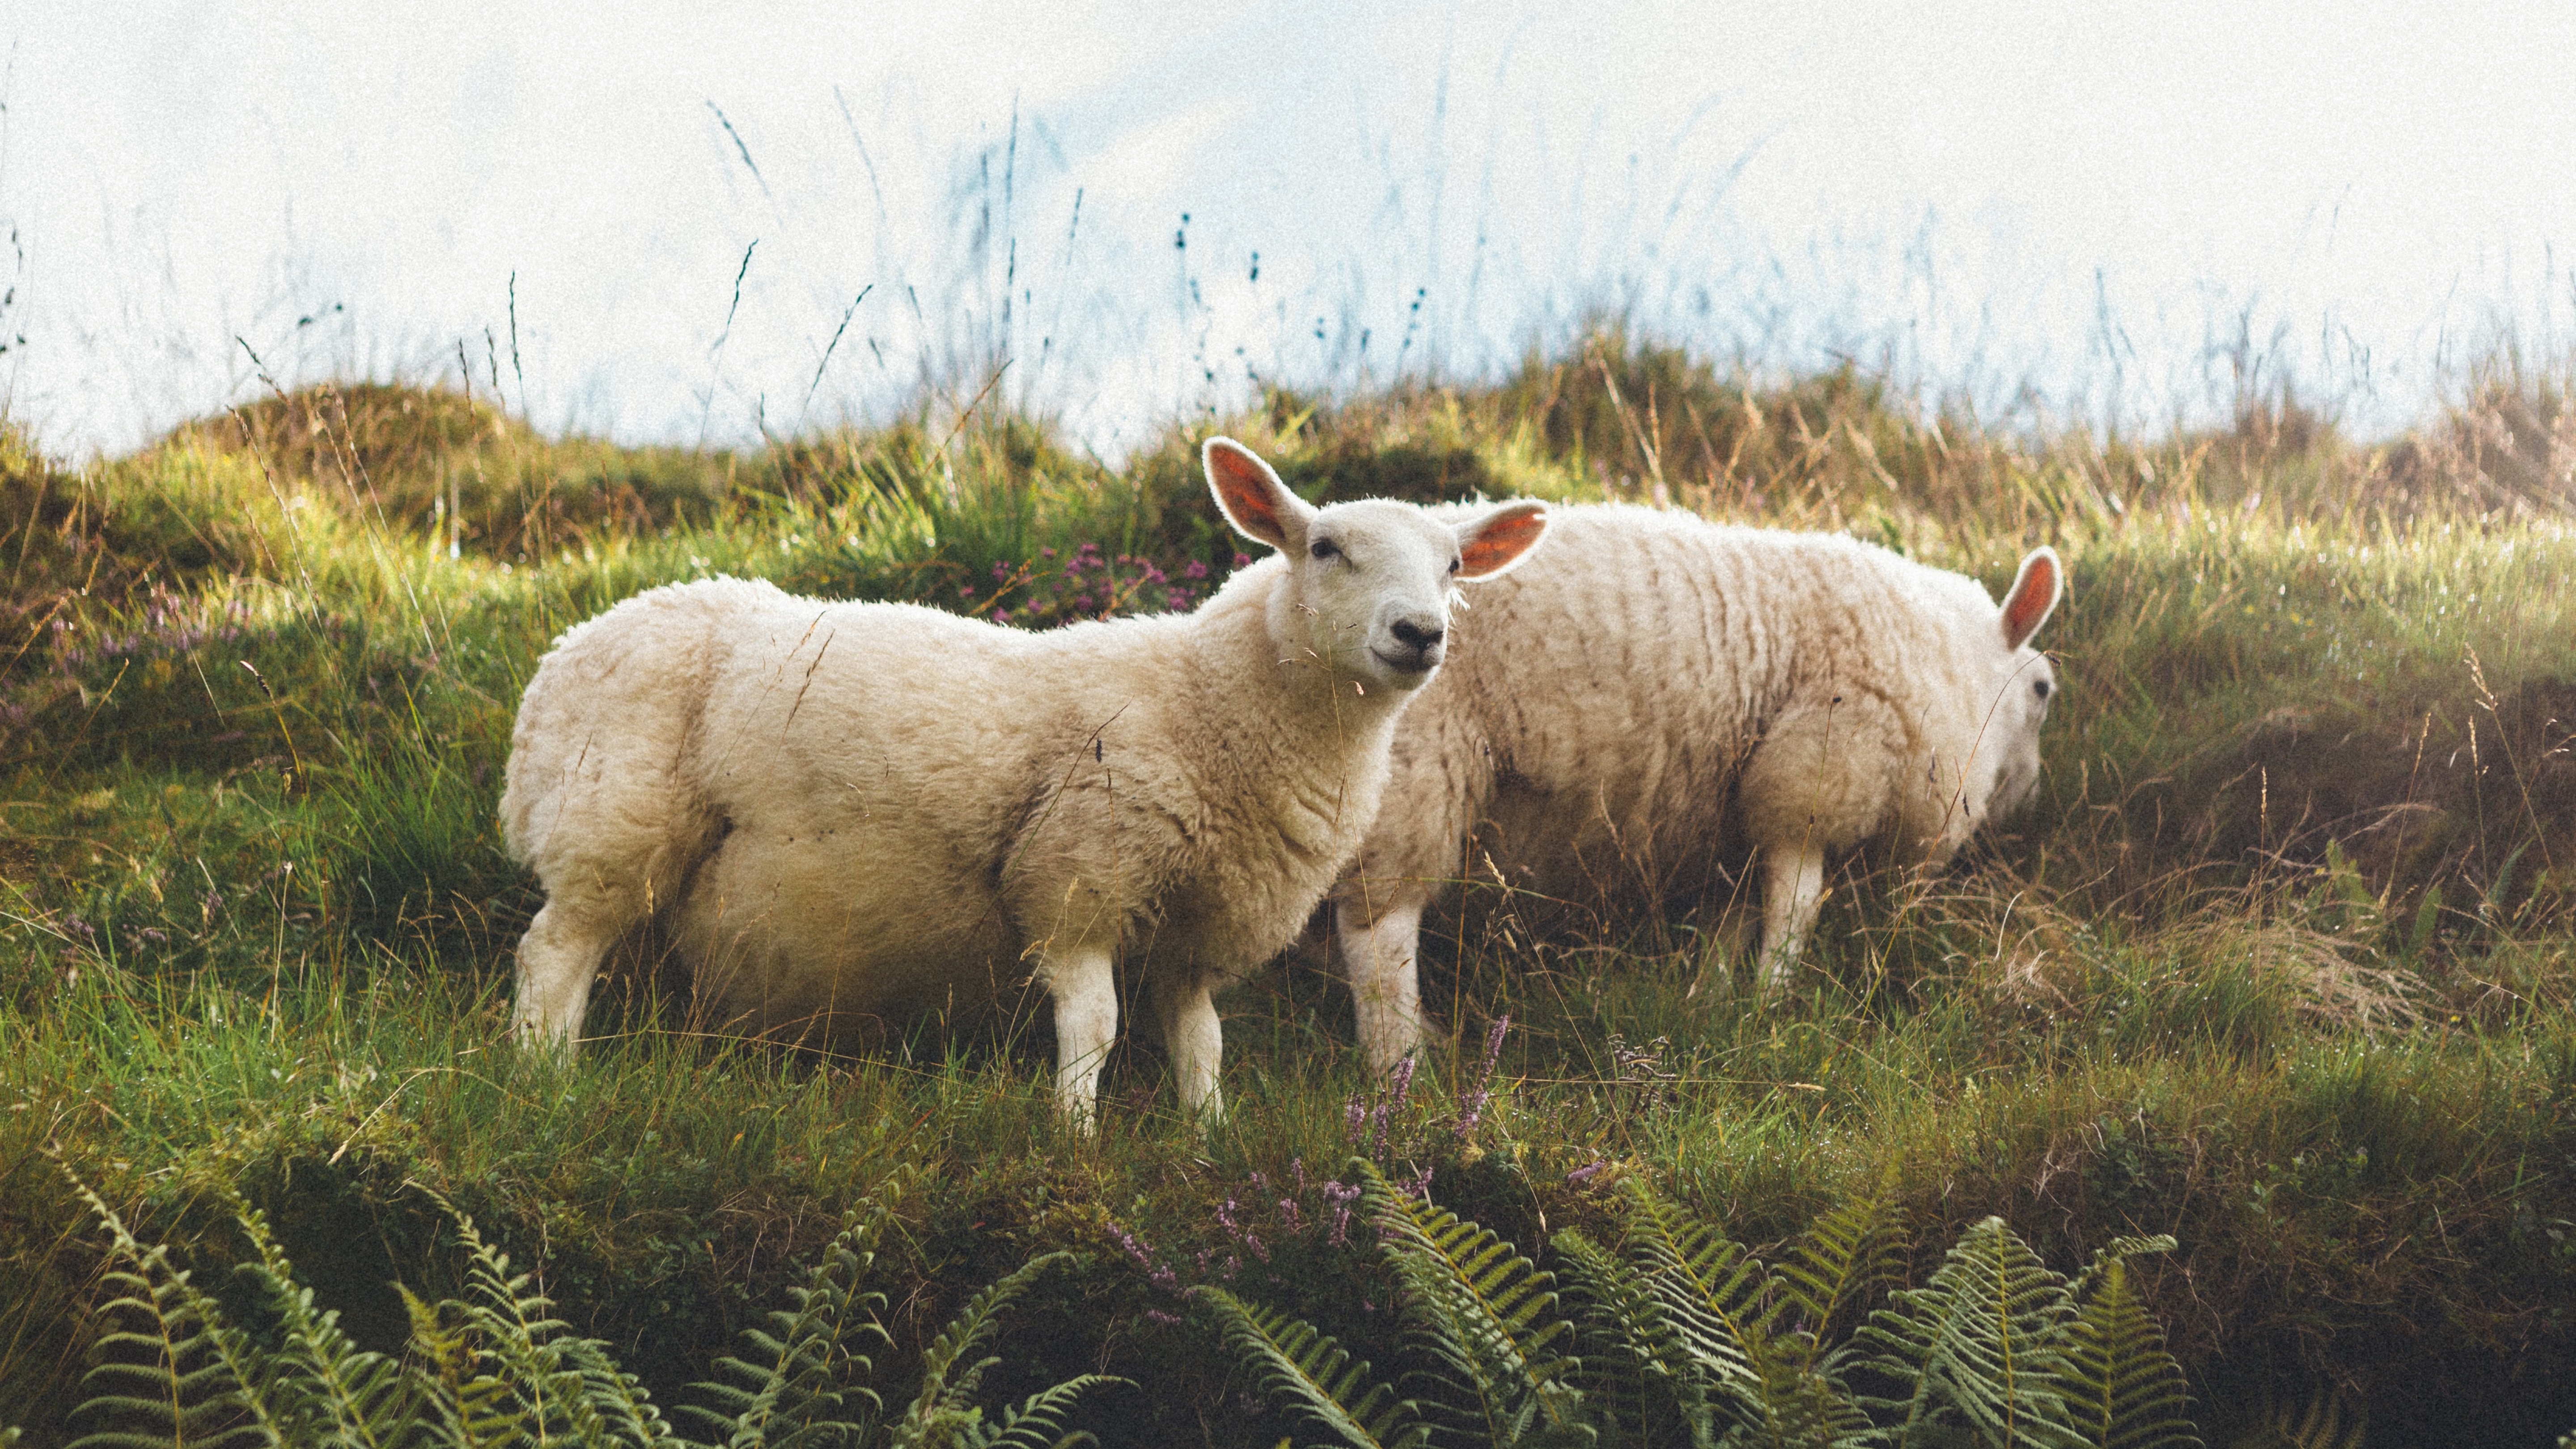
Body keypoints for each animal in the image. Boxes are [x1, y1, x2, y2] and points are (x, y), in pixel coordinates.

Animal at [502, 433, 1546, 1124]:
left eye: (1457, 564)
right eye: (1326, 549)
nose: (1420, 633)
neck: (1213, 702)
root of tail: (559, 659)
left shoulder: (1196, 930)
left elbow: (1201, 1044)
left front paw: (1205, 1143)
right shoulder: (1077, 876)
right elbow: (1094, 1026)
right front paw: (1073, 1139)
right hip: (613, 820)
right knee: (553, 953)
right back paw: (543, 1083)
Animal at [1339, 503, 2061, 1067]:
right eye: (2043, 689)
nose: (2031, 802)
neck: (1959, 662)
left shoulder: (1732, 824)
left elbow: (1732, 923)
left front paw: (1710, 1003)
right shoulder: (1816, 771)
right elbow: (1796, 907)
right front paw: (1771, 1005)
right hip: (1417, 766)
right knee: (1378, 937)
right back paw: (1400, 1066)